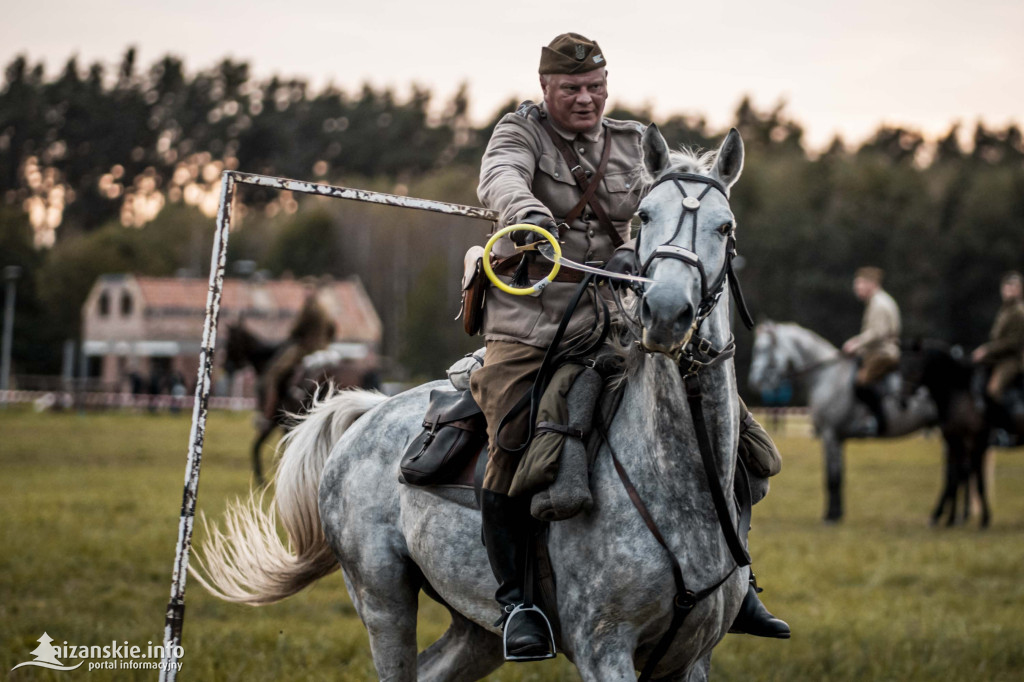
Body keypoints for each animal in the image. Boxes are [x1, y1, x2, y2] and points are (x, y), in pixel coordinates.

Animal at [745, 321, 937, 518]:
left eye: (763, 349)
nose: (755, 381)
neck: (826, 377)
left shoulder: (830, 435)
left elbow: (833, 477)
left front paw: (831, 515)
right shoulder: (838, 438)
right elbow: (839, 475)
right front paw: (837, 512)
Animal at [905, 339, 1024, 524]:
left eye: (915, 368)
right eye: (902, 366)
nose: (903, 398)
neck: (960, 396)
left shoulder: (976, 441)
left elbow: (971, 478)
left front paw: (983, 519)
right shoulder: (954, 440)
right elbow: (957, 475)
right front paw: (950, 517)